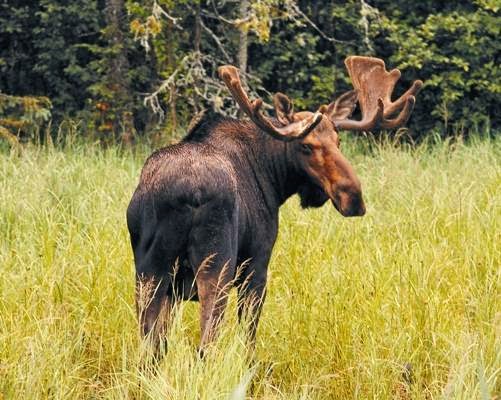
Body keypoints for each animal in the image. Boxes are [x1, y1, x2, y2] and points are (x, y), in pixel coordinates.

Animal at [127, 56, 420, 354]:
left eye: (338, 141)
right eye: (305, 146)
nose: (353, 197)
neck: (273, 178)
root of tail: (188, 193)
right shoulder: (257, 265)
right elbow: (248, 339)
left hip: (149, 269)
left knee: (149, 348)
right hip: (216, 264)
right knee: (206, 343)